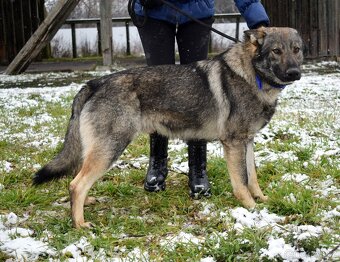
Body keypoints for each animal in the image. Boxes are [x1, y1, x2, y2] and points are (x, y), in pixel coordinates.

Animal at [33, 26, 304, 227]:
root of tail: (94, 83)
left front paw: (262, 199)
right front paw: (251, 209)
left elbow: (253, 177)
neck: (253, 75)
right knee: (76, 184)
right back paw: (80, 224)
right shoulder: (234, 143)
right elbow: (241, 182)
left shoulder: (247, 141)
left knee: (79, 181)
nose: (295, 73)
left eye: (296, 50)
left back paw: (85, 205)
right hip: (110, 149)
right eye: (276, 51)